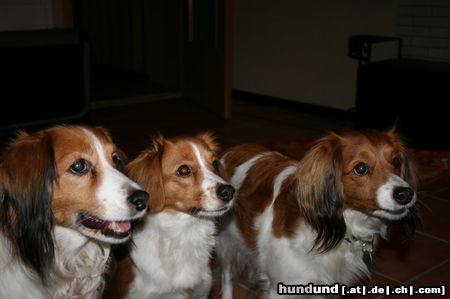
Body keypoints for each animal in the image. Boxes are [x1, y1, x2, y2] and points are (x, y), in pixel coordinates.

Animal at [217, 130, 418, 298]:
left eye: (396, 161)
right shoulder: (280, 288)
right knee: (226, 276)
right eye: (360, 168)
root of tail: (230, 152)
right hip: (226, 245)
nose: (406, 194)